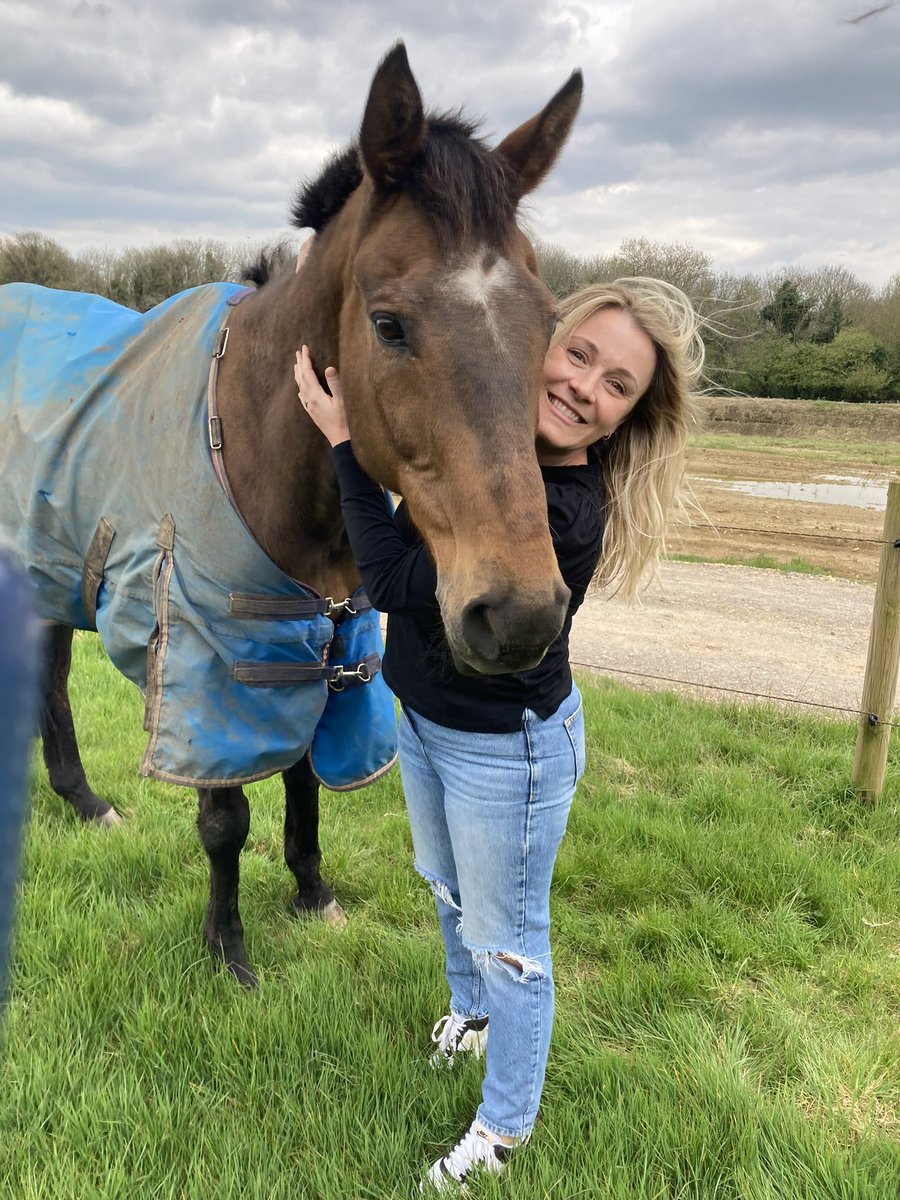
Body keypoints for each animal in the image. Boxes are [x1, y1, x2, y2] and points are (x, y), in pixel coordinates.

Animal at [0, 43, 582, 987]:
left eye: (548, 322)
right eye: (388, 325)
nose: (521, 614)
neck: (249, 437)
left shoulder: (326, 638)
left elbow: (306, 776)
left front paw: (311, 892)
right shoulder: (211, 661)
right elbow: (224, 819)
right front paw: (228, 947)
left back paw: (84, 801)